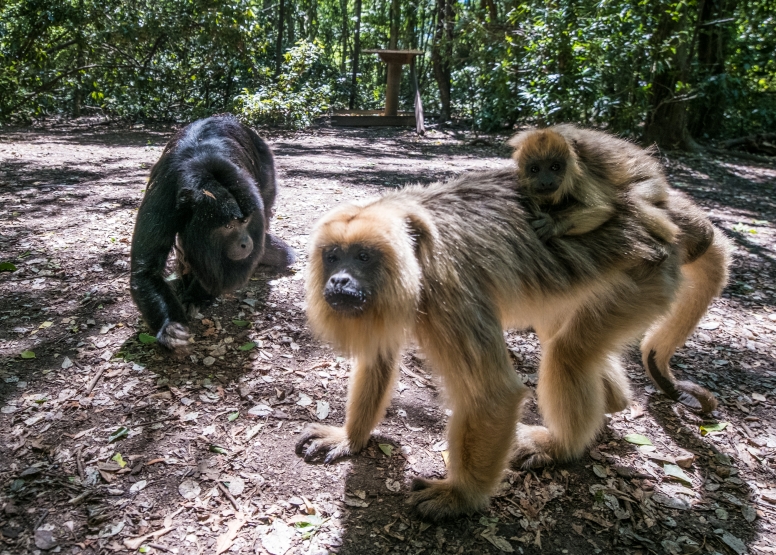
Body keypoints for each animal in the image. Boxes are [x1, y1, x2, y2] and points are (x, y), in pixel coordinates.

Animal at [296, 168, 728, 520]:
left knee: (568, 353)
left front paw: (461, 497)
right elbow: (378, 359)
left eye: (363, 257)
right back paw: (614, 401)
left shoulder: (448, 289)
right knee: (561, 334)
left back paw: (562, 446)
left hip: (648, 274)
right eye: (333, 256)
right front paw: (350, 438)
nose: (338, 281)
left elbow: (494, 395)